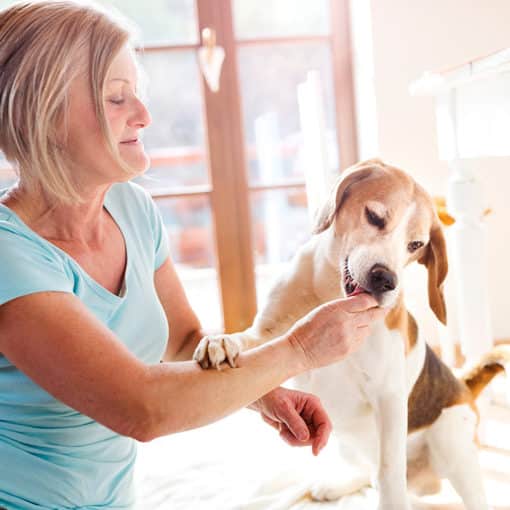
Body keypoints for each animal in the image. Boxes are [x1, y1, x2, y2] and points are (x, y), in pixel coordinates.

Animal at [193, 159, 508, 510]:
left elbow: (389, 475)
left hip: (451, 441)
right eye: (375, 216)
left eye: (416, 245)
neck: (330, 293)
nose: (385, 279)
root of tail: (463, 385)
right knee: (369, 474)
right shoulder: (267, 333)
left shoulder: (388, 396)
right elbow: (247, 339)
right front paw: (221, 341)